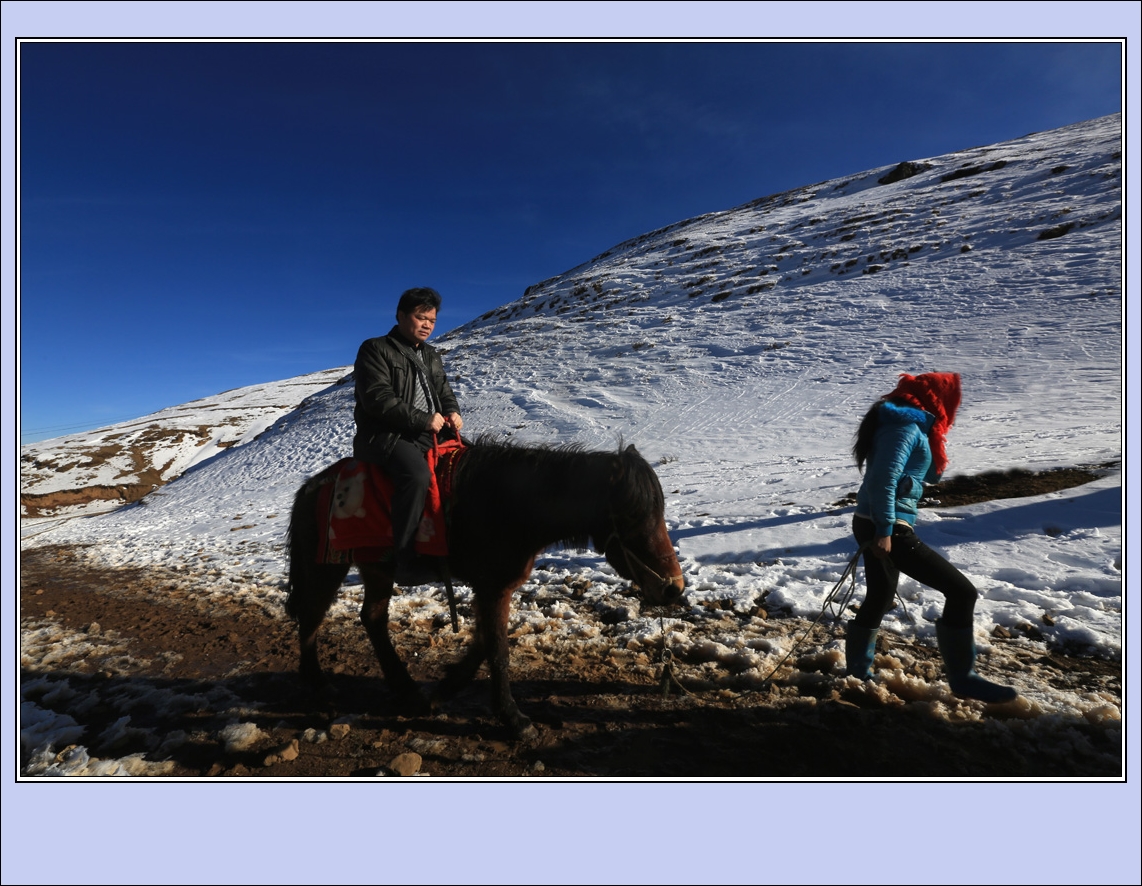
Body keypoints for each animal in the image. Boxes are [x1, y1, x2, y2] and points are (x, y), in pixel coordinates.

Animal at [284, 438, 680, 735]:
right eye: (632, 514)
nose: (673, 588)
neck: (510, 506)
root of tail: (309, 488)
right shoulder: (491, 587)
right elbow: (498, 651)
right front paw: (514, 719)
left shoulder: (495, 588)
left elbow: (484, 643)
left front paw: (443, 690)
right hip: (327, 567)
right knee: (313, 615)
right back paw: (319, 683)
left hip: (376, 569)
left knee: (372, 618)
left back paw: (407, 690)